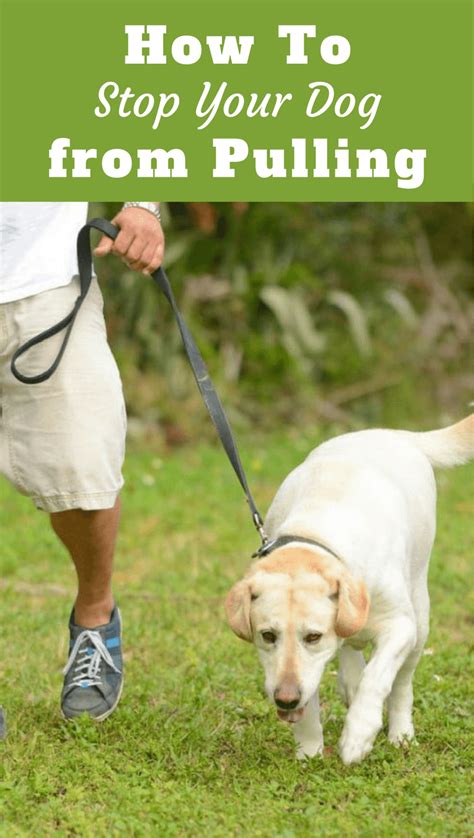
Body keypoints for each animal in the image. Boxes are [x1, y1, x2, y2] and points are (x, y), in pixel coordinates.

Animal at [227, 416, 474, 764]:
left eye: (313, 636)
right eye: (267, 635)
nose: (286, 699)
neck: (316, 533)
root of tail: (394, 434)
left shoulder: (400, 627)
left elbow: (378, 677)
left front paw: (359, 733)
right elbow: (313, 702)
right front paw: (309, 751)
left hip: (420, 615)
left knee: (401, 682)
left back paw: (400, 732)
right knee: (351, 650)